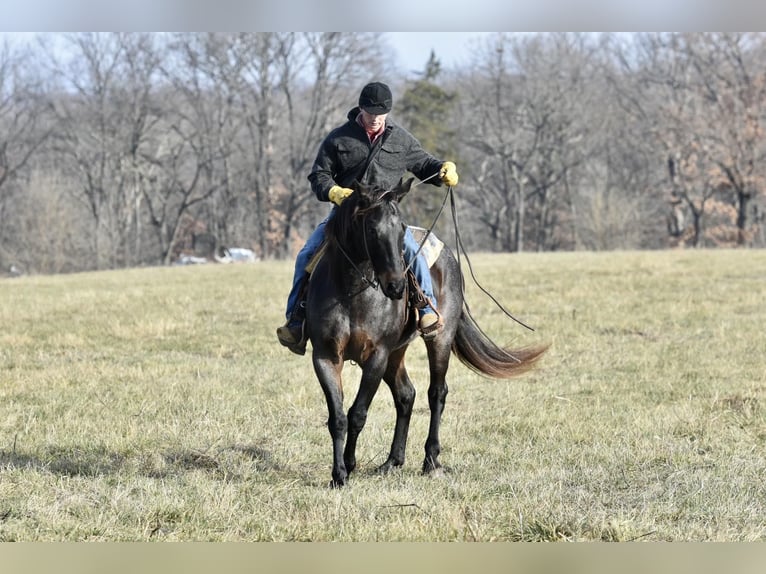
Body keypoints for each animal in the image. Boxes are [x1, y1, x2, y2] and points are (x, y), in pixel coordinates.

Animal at [304, 178, 548, 488]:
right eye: (371, 229)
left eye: (401, 229)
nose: (396, 286)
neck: (351, 293)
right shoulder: (325, 357)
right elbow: (337, 418)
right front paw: (339, 475)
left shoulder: (377, 356)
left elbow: (357, 413)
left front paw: (349, 464)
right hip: (396, 353)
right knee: (406, 395)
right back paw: (392, 461)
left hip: (438, 340)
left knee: (437, 392)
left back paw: (431, 459)